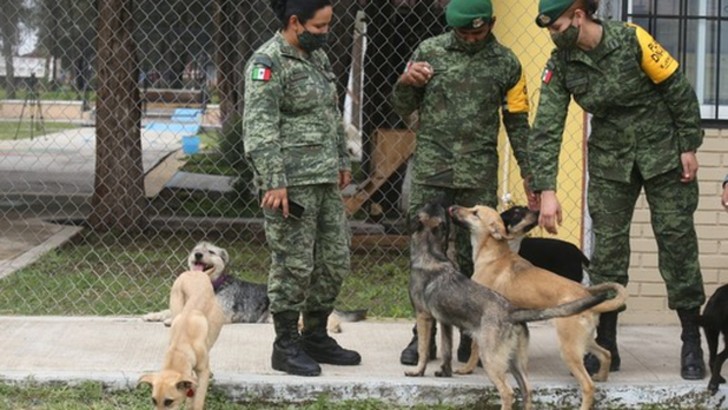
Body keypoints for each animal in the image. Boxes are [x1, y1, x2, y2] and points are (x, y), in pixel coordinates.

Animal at [139, 264, 225, 408]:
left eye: (169, 401)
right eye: (153, 400)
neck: (180, 348)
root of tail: (197, 273)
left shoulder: (202, 374)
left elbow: (198, 400)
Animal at [406, 203, 612, 410]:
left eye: (475, 213)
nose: (452, 206)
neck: (495, 255)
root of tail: (587, 295)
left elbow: (465, 347)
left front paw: (465, 369)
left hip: (566, 347)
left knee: (583, 385)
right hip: (580, 341)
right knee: (605, 354)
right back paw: (601, 375)